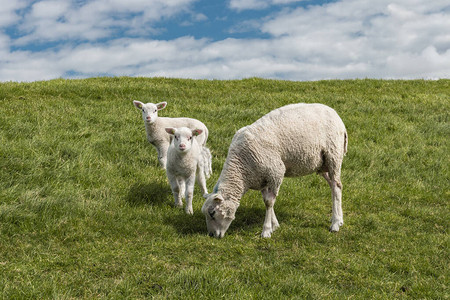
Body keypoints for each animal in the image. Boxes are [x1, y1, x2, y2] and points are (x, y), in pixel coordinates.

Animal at [201, 103, 348, 239]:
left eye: (212, 213)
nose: (211, 235)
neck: (242, 169)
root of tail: (336, 115)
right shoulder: (262, 178)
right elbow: (266, 201)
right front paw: (275, 225)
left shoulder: (276, 172)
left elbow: (269, 202)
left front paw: (266, 231)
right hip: (322, 165)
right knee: (335, 185)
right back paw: (339, 219)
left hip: (333, 155)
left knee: (336, 186)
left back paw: (335, 224)